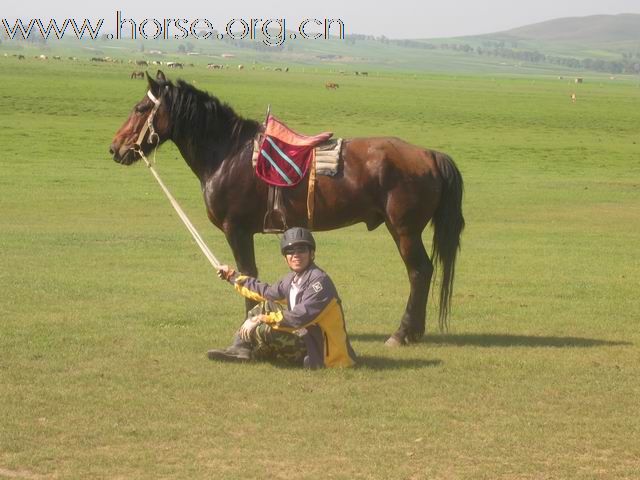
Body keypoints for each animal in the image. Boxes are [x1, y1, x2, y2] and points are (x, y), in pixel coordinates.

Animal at [107, 71, 462, 344]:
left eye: (140, 108)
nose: (115, 148)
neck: (228, 153)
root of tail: (429, 155)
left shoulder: (237, 230)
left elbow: (246, 274)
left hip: (404, 231)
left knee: (420, 272)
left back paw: (403, 333)